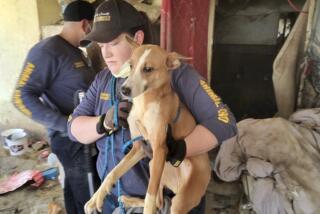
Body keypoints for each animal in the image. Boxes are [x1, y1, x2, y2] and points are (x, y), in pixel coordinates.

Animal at [84, 44, 211, 213]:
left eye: (148, 69)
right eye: (131, 66)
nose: (124, 90)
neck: (144, 103)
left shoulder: (160, 149)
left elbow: (149, 196)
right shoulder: (139, 148)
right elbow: (113, 172)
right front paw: (96, 197)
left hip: (180, 197)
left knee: (160, 203)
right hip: (154, 166)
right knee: (159, 203)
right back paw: (128, 200)